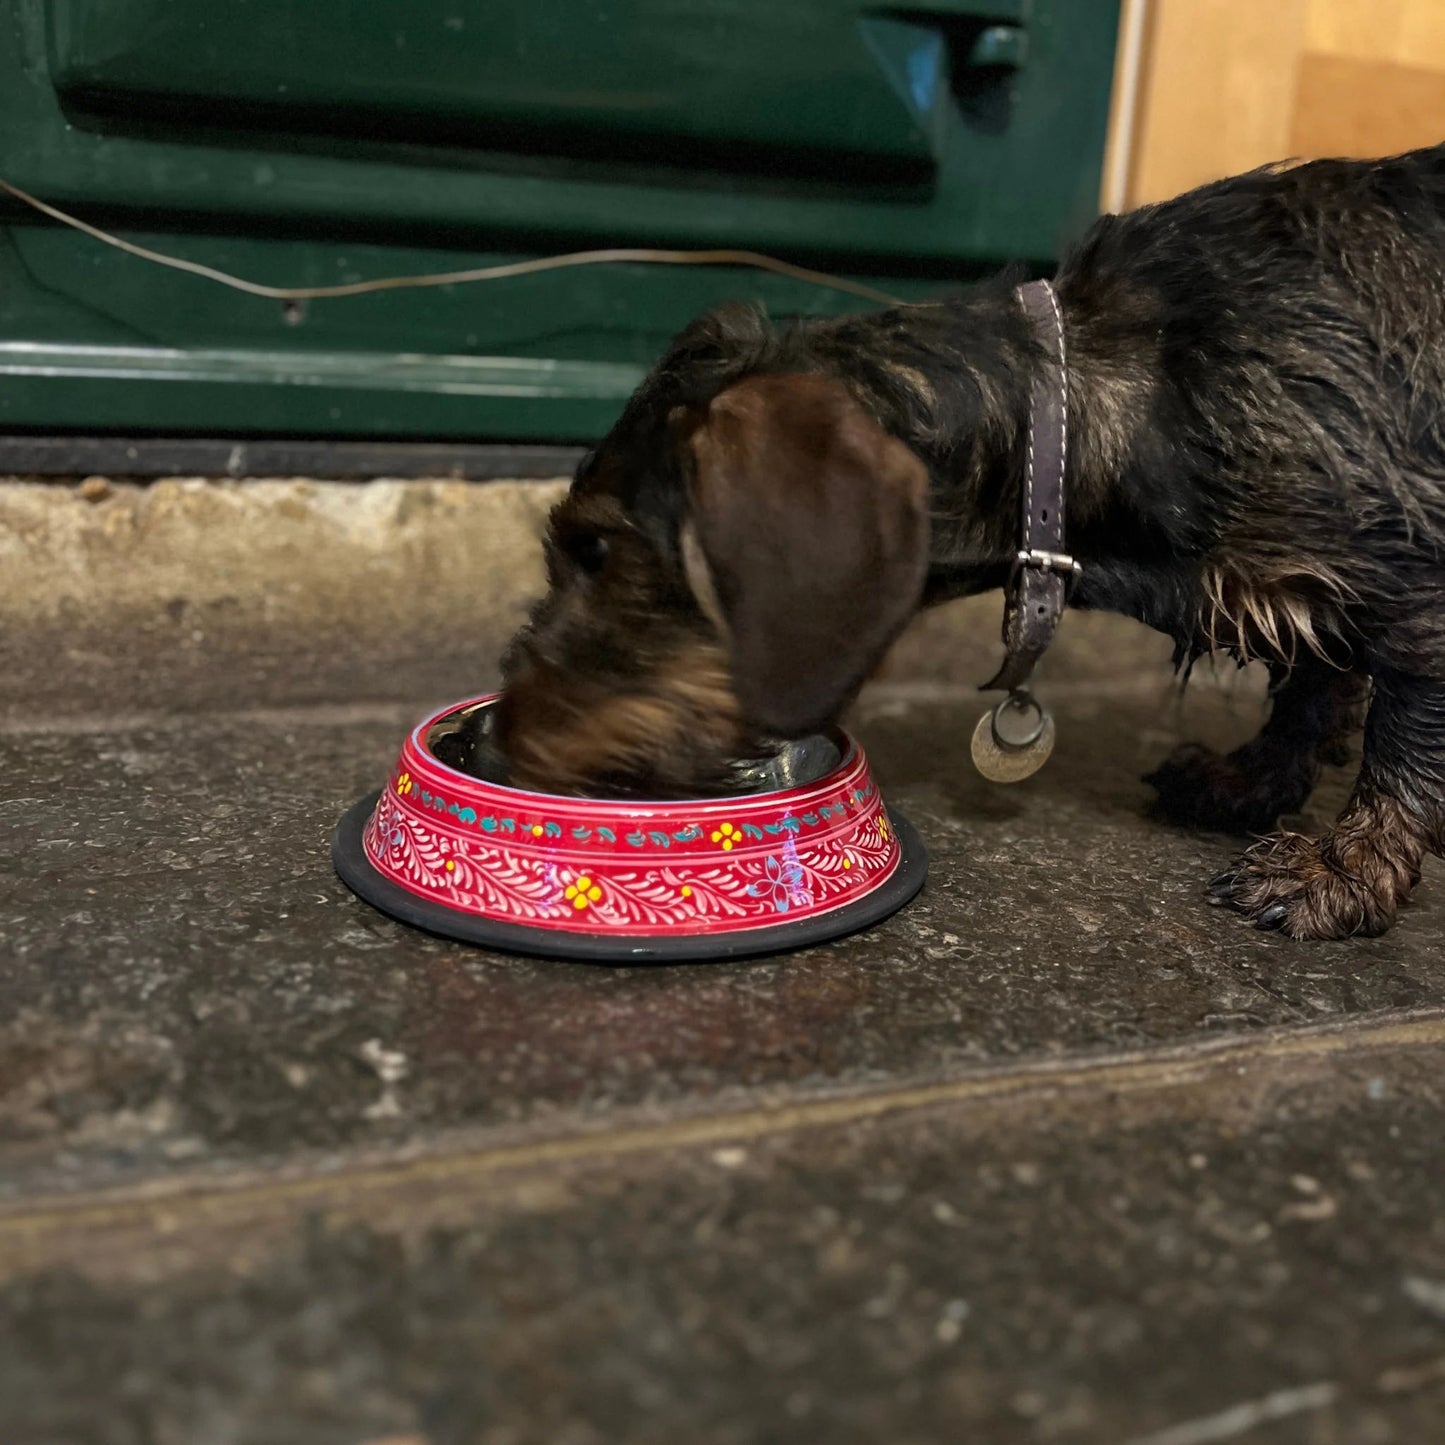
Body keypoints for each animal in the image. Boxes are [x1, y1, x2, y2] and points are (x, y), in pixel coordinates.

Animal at [491, 140, 1445, 942]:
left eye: (597, 550)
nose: (502, 736)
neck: (1110, 397)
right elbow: (1310, 685)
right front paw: (1250, 782)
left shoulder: (1412, 594)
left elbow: (1395, 747)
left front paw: (1342, 869)